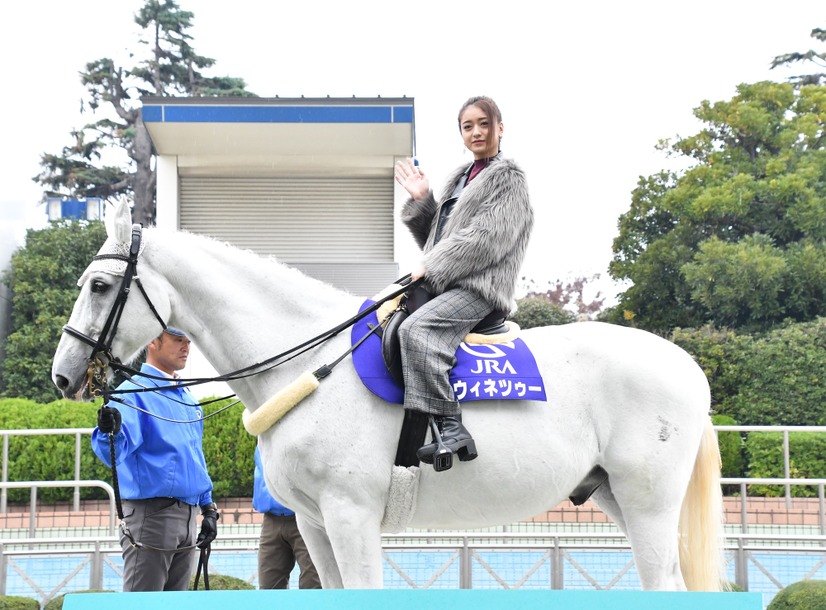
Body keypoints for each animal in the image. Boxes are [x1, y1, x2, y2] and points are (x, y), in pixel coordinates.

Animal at [51, 201, 720, 588]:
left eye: (100, 285)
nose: (64, 374)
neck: (310, 363)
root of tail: (686, 365)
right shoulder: (316, 525)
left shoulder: (350, 516)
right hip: (616, 497)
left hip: (649, 504)